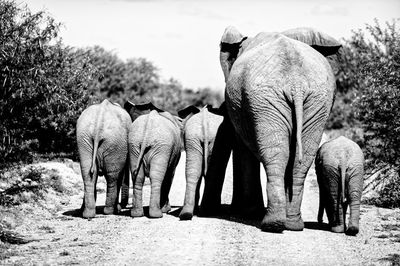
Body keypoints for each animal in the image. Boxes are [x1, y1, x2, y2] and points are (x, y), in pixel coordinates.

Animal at [200, 26, 340, 232]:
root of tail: (296, 83)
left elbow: (243, 149)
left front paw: (248, 212)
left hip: (273, 100)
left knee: (277, 153)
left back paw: (271, 223)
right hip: (309, 102)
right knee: (299, 157)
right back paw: (291, 224)